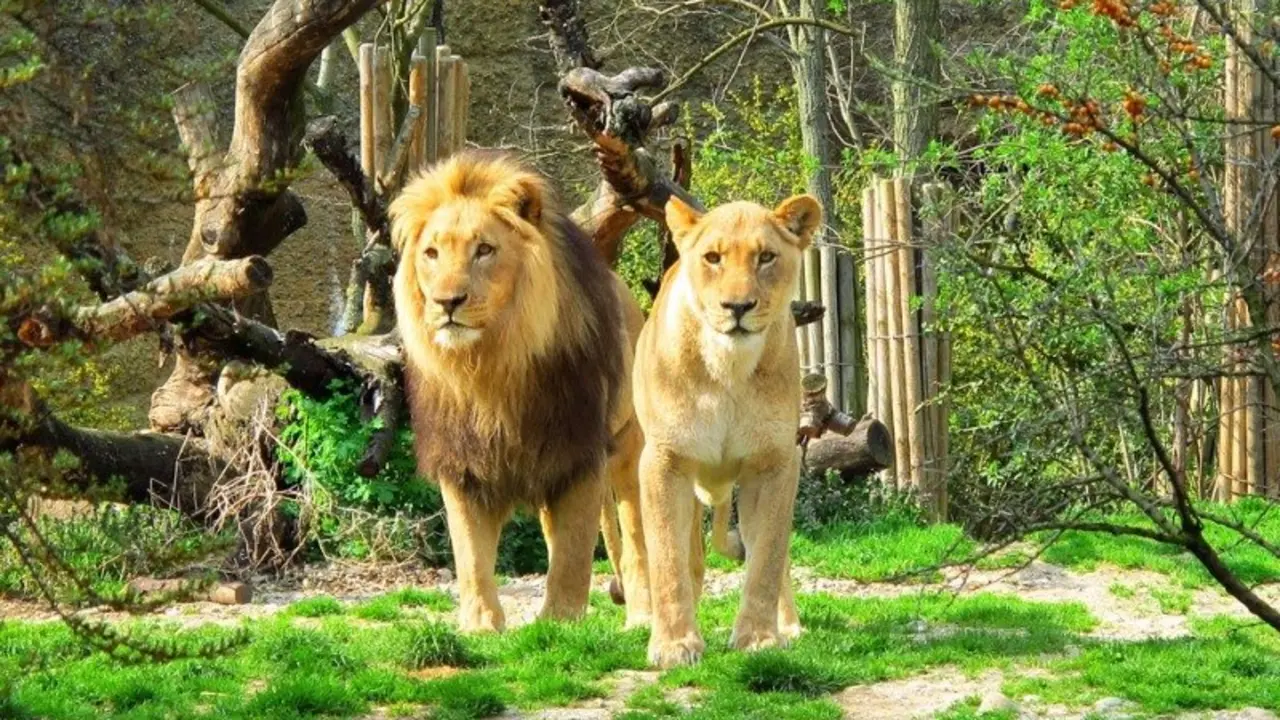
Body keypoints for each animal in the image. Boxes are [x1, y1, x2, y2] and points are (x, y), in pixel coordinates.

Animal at [388, 150, 652, 632]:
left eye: (484, 250)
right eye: (431, 253)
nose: (446, 302)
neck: (491, 366)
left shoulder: (579, 453)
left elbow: (573, 553)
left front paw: (560, 622)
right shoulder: (463, 462)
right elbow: (470, 556)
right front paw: (480, 625)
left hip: (629, 446)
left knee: (638, 536)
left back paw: (642, 616)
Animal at [633, 193, 822, 668]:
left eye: (766, 257)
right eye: (713, 258)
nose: (738, 308)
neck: (728, 368)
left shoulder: (775, 463)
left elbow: (768, 557)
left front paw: (758, 638)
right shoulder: (663, 461)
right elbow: (667, 558)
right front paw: (674, 643)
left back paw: (789, 626)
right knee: (690, 557)